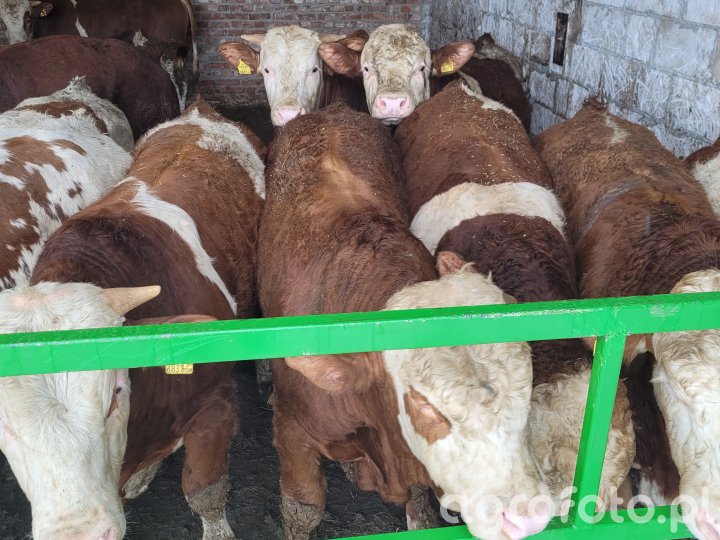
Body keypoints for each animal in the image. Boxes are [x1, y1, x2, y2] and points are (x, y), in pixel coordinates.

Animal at [0, 100, 265, 540]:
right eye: (2, 426)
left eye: (117, 392)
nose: (79, 532)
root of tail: (200, 112)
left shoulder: (216, 406)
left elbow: (205, 491)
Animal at [258, 101, 553, 540]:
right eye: (426, 407)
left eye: (529, 387)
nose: (528, 515)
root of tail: (330, 111)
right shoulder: (293, 430)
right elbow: (303, 509)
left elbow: (419, 506)